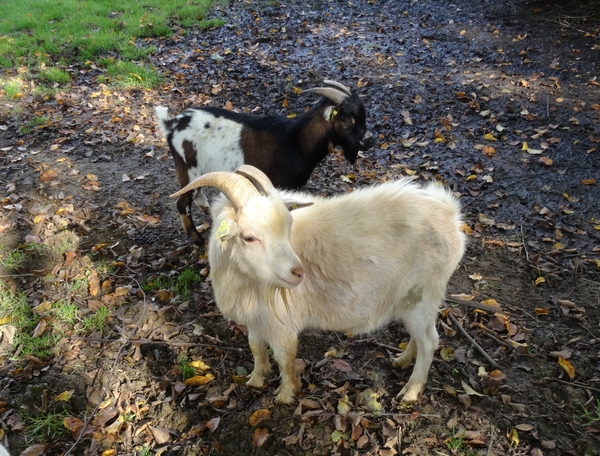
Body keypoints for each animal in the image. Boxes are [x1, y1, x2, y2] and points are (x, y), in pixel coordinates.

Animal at [155, 82, 372, 246]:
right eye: (347, 120)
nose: (369, 141)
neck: (295, 142)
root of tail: (172, 124)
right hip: (187, 168)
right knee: (182, 203)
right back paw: (198, 240)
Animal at [171, 164, 466, 402]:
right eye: (249, 237)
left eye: (288, 226)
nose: (298, 273)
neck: (247, 281)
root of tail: (450, 213)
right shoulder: (256, 319)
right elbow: (256, 348)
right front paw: (255, 380)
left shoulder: (282, 324)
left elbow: (284, 359)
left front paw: (285, 395)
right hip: (415, 300)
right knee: (420, 336)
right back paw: (402, 361)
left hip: (423, 293)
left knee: (429, 341)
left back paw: (411, 391)